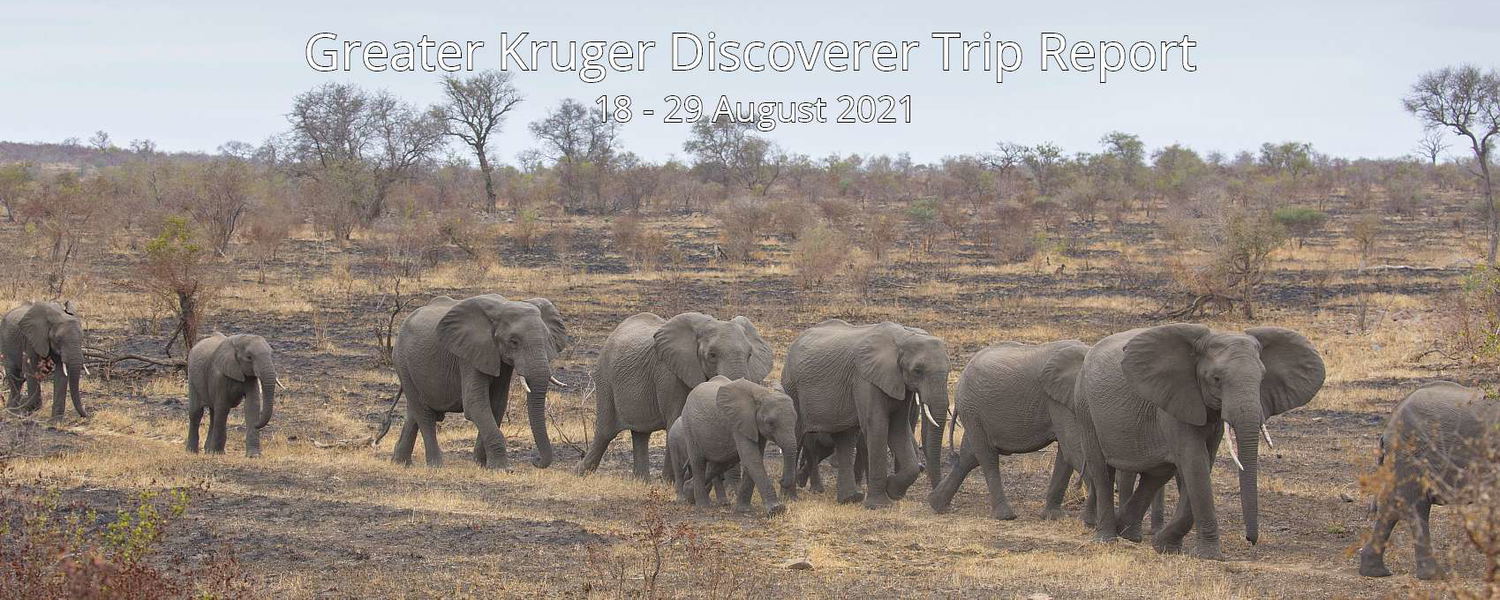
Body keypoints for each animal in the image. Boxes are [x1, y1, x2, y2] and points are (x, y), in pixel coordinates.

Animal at [391, 294, 567, 469]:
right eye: (514, 341)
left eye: (548, 339)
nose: (535, 460)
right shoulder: (469, 355)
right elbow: (475, 404)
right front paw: (501, 468)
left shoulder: (499, 359)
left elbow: (496, 405)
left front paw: (481, 464)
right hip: (402, 362)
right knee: (424, 414)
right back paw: (436, 466)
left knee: (413, 412)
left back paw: (400, 462)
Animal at [576, 312, 773, 481]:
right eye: (712, 355)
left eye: (749, 355)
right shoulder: (670, 374)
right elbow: (677, 421)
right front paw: (669, 482)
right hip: (605, 378)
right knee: (605, 431)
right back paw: (580, 473)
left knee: (640, 433)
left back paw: (642, 481)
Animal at [668, 377, 799, 515]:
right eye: (770, 423)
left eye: (796, 419)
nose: (781, 480)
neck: (761, 391)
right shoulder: (738, 423)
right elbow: (752, 458)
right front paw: (776, 509)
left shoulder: (754, 426)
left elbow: (753, 458)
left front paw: (744, 509)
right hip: (689, 428)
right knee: (698, 463)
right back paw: (702, 506)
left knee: (718, 464)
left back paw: (690, 494)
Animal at [782, 319, 949, 509]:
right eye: (917, 371)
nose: (936, 503)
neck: (904, 337)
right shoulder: (865, 379)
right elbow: (877, 425)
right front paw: (880, 505)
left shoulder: (898, 382)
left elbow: (898, 428)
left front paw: (892, 490)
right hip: (792, 388)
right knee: (796, 436)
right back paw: (790, 498)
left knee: (844, 439)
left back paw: (850, 498)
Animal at [1075, 324, 1324, 560]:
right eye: (1216, 379)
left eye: (1262, 378)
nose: (1250, 539)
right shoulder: (1175, 400)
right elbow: (1195, 462)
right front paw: (1209, 556)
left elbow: (1204, 462)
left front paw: (1165, 546)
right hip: (1085, 407)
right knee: (1102, 470)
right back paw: (1108, 538)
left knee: (1156, 475)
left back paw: (1126, 531)